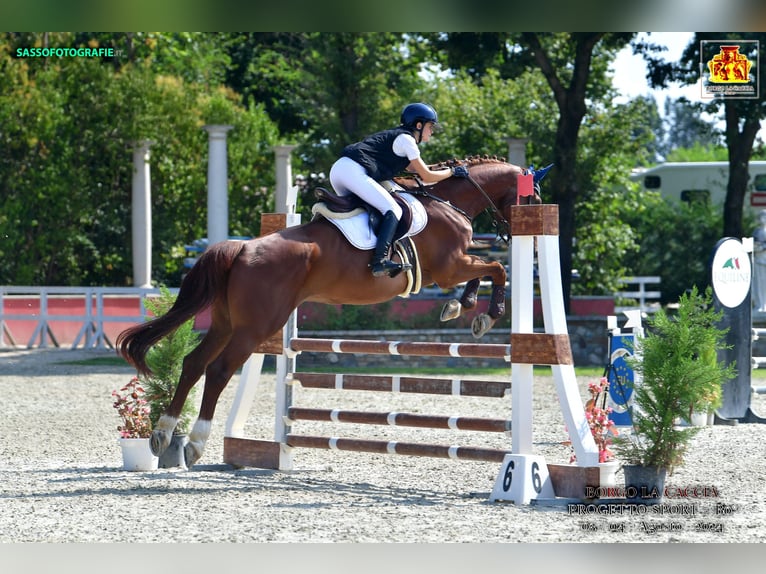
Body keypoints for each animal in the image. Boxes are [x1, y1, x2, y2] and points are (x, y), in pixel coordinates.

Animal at [117, 156, 544, 468]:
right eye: (533, 197)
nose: (523, 235)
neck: (448, 202)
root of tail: (242, 247)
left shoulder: (456, 266)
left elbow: (487, 271)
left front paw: (463, 306)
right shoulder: (450, 267)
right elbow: (496, 268)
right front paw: (485, 312)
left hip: (226, 323)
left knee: (193, 363)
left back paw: (163, 434)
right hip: (256, 326)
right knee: (219, 370)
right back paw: (195, 444)